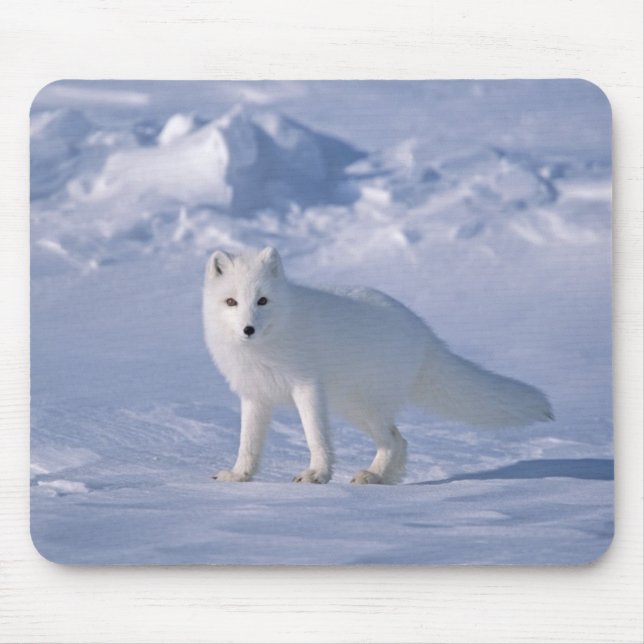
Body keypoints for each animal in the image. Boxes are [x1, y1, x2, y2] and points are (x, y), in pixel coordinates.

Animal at [203, 246, 553, 485]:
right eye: (231, 302)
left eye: (262, 300)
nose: (248, 329)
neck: (266, 346)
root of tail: (424, 332)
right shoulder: (255, 396)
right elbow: (248, 443)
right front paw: (239, 475)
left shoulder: (307, 387)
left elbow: (316, 436)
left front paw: (317, 474)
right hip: (353, 407)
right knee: (400, 440)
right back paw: (383, 477)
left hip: (363, 405)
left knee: (394, 440)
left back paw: (373, 476)